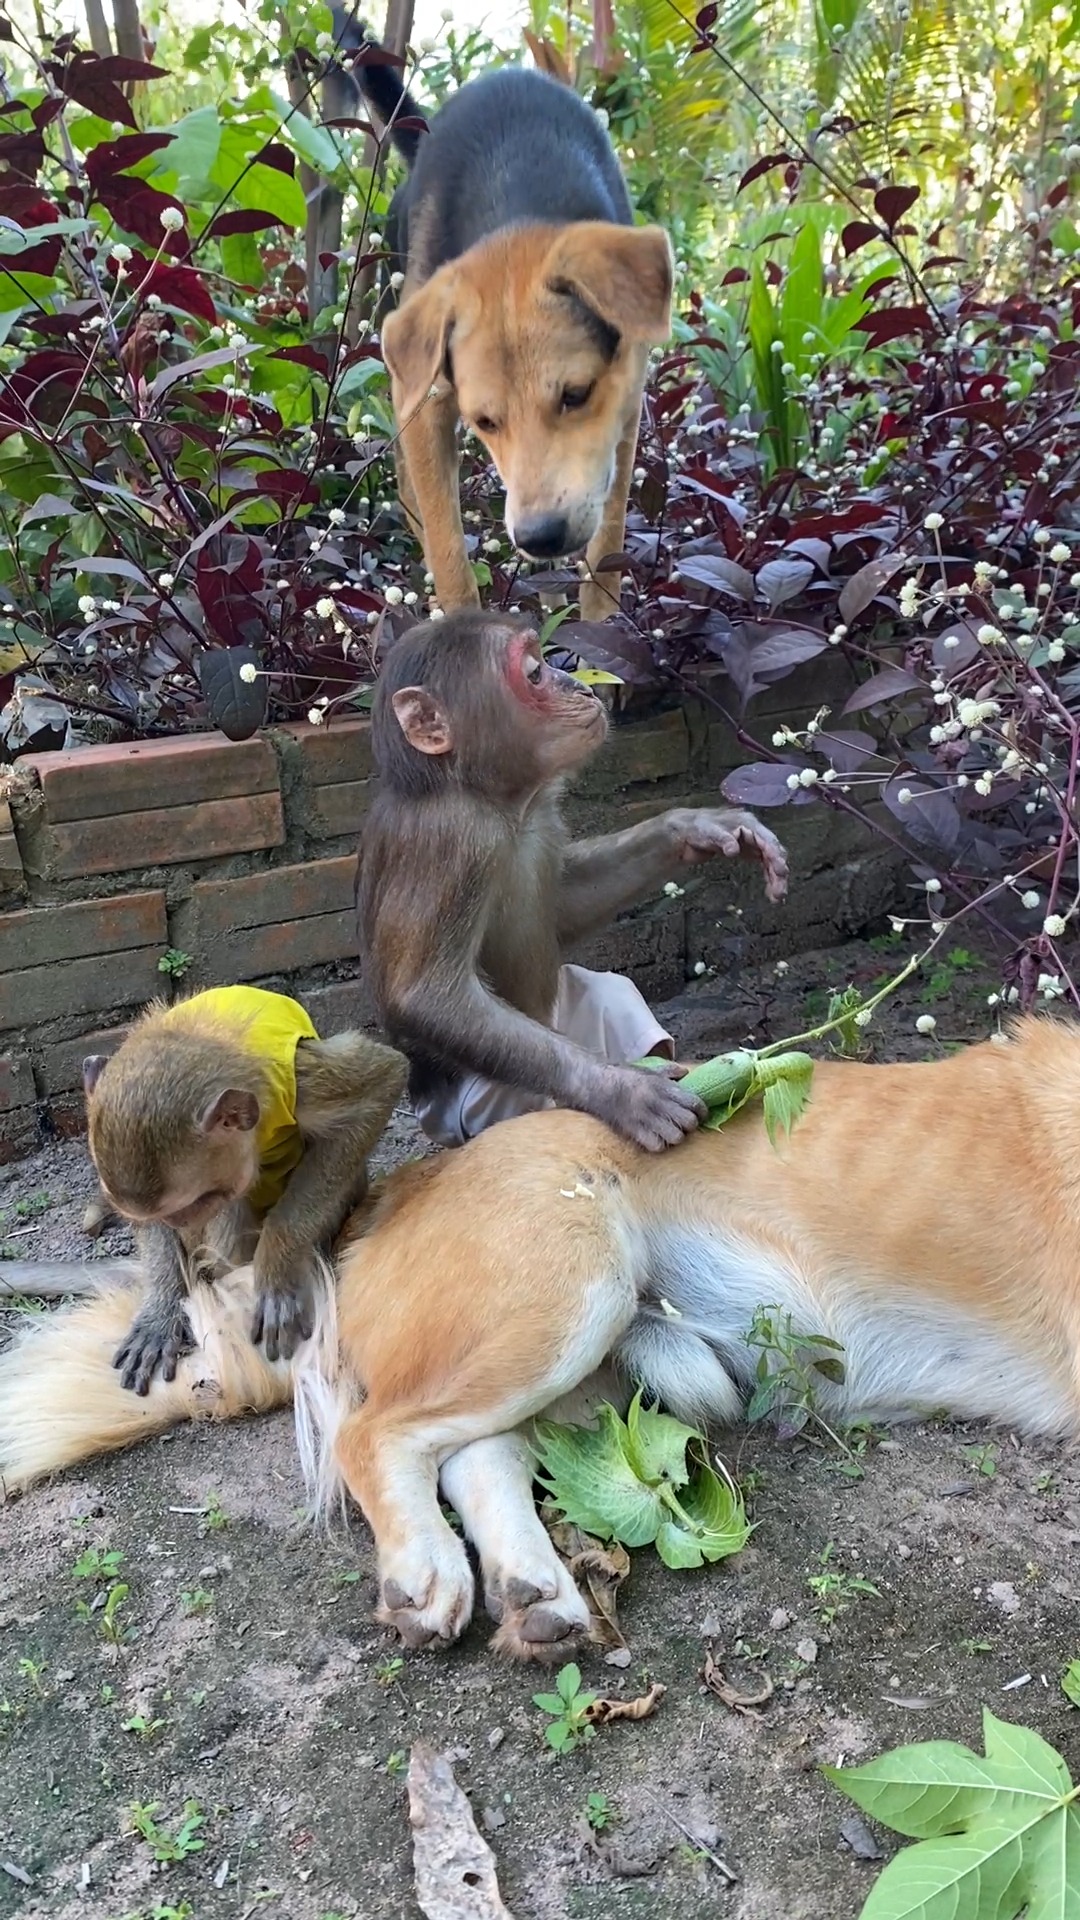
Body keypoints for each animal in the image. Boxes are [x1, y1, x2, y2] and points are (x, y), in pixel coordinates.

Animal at [82, 987, 407, 1395]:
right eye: (164, 1215)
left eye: (195, 1203)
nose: (180, 1225)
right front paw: (162, 1310)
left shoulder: (298, 1080)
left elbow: (384, 1081)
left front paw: (276, 1273)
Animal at [357, 611, 789, 1155]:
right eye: (536, 673)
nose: (579, 684)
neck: (490, 797)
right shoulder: (451, 838)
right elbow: (425, 995)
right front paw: (620, 1089)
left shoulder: (541, 812)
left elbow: (565, 906)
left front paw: (693, 828)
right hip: (481, 1108)